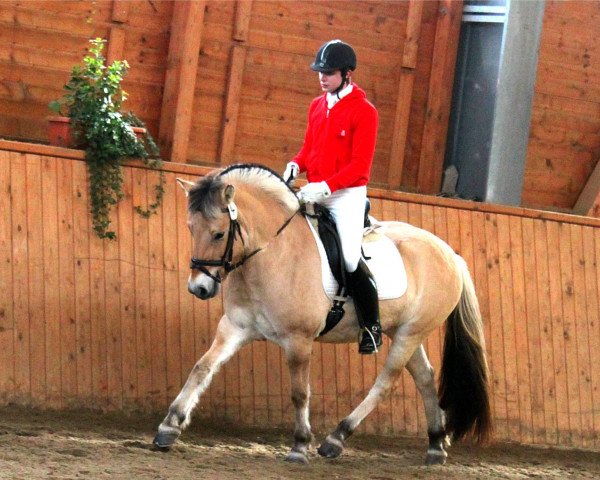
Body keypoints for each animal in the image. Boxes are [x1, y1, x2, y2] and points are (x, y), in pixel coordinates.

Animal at [152, 163, 490, 464]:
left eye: (219, 234)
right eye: (190, 228)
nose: (199, 288)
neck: (273, 252)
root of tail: (450, 254)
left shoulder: (299, 340)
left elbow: (299, 392)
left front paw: (300, 445)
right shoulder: (235, 327)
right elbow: (202, 368)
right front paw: (169, 426)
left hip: (411, 333)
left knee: (386, 382)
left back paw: (336, 439)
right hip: (406, 331)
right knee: (424, 378)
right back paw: (435, 444)